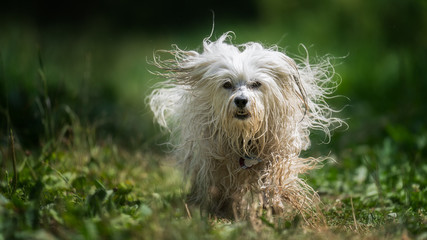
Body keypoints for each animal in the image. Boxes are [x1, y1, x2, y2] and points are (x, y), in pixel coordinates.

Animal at [149, 31, 342, 221]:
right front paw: (222, 210)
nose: (241, 100)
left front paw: (274, 202)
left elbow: (275, 173)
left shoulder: (278, 148)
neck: (245, 136)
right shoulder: (214, 159)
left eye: (256, 84)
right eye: (227, 84)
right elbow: (221, 184)